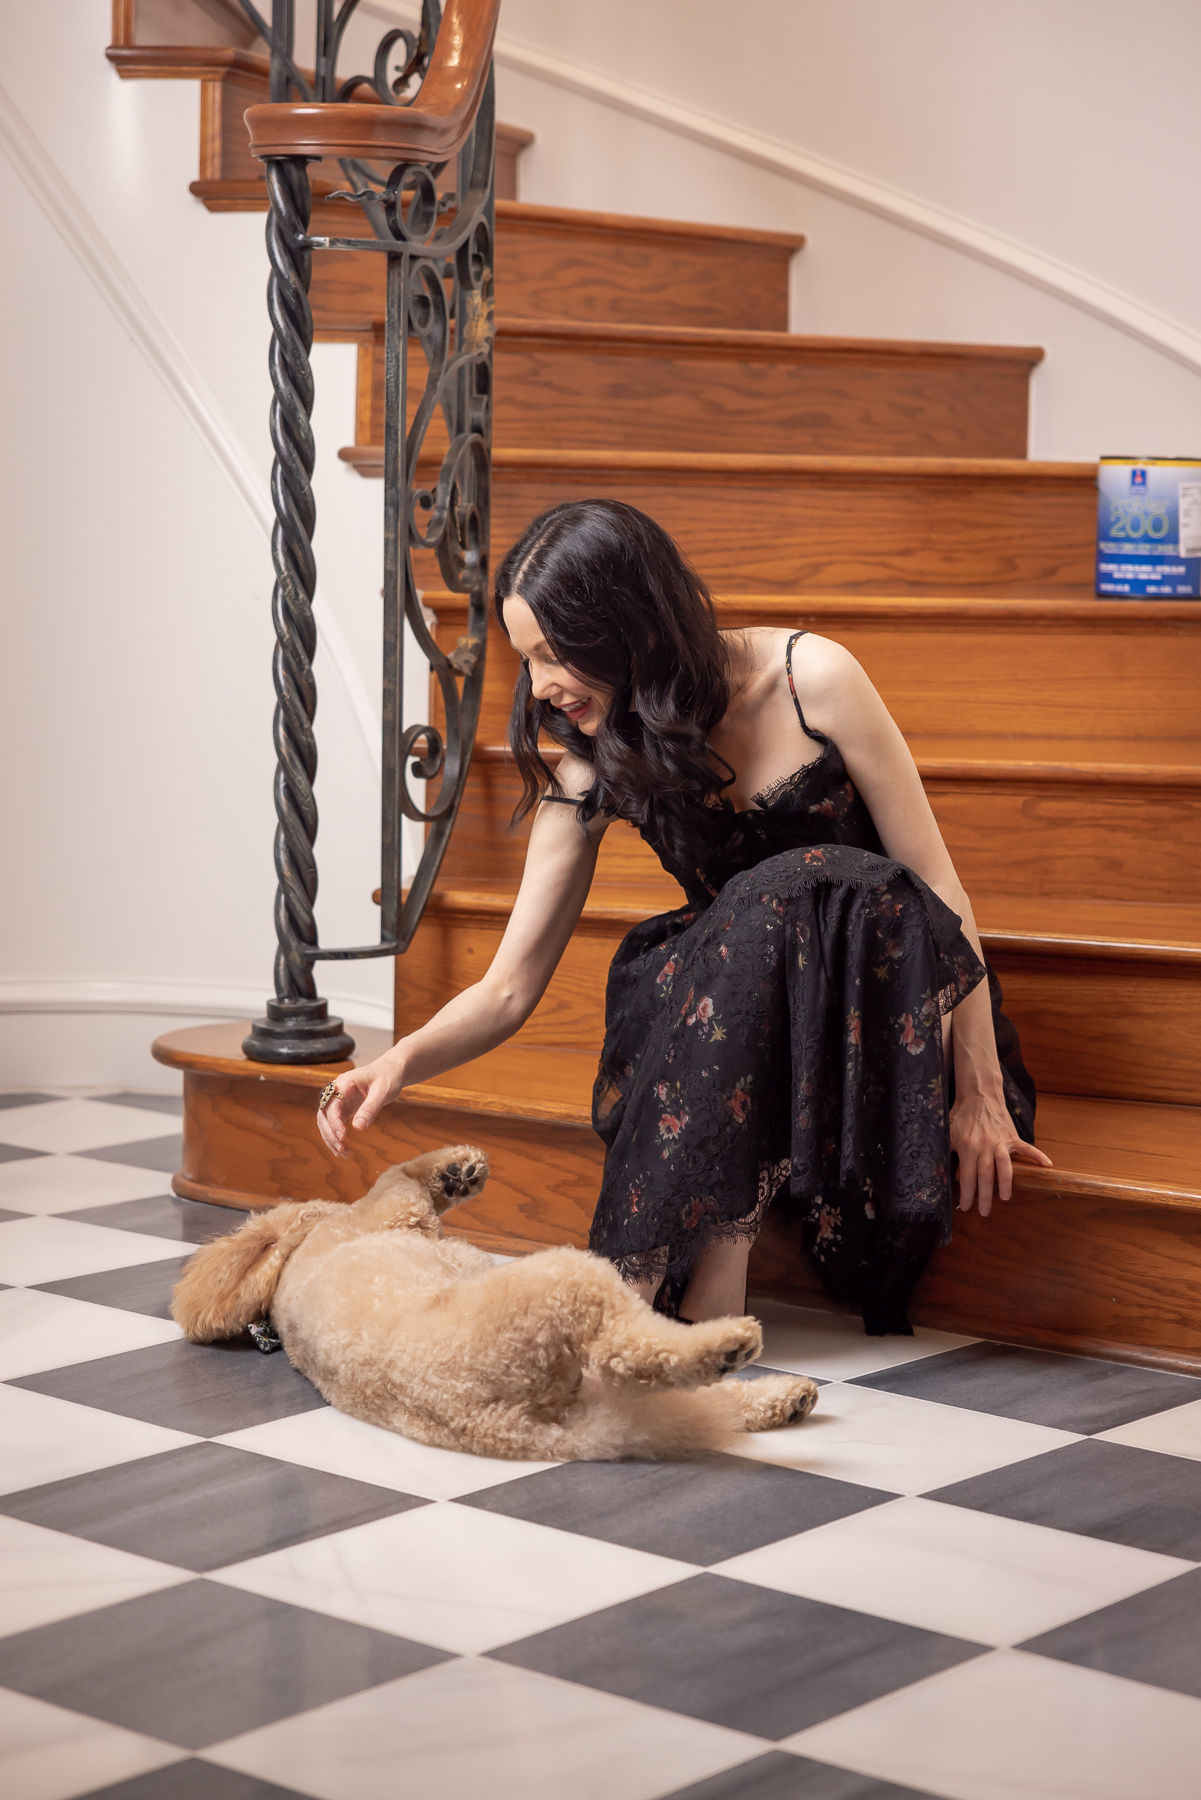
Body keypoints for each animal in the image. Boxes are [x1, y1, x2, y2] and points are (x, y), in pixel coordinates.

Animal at [173, 1144, 821, 1454]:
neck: (308, 1240)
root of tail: (499, 1422)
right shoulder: (389, 1210)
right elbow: (399, 1171)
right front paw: (455, 1169)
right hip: (566, 1281)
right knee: (638, 1352)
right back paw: (727, 1344)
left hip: (593, 1378)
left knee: (688, 1388)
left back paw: (782, 1397)